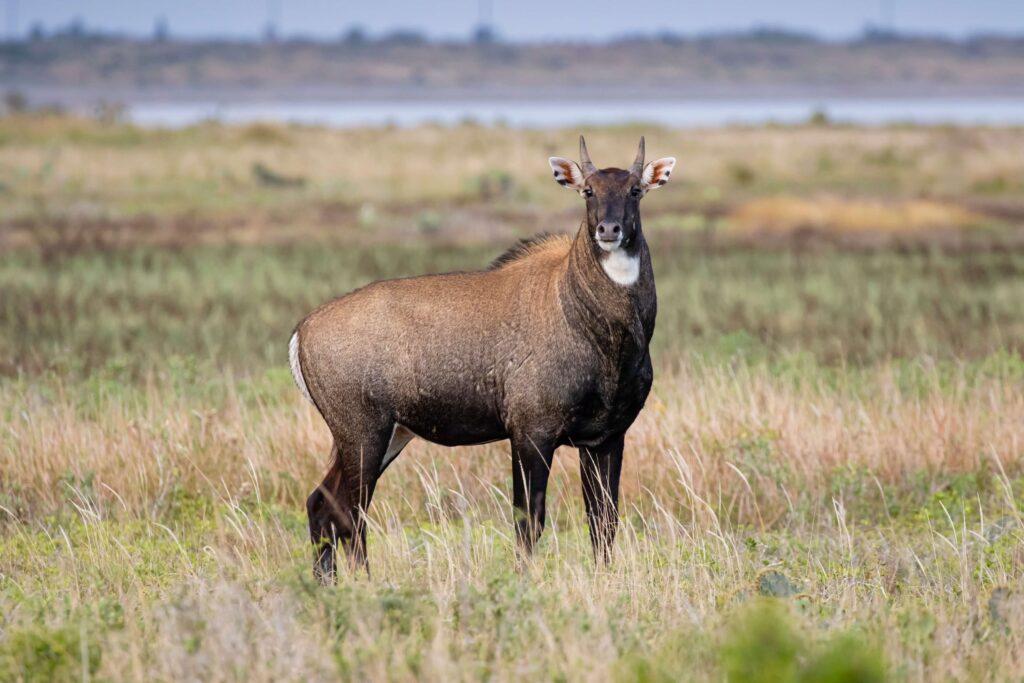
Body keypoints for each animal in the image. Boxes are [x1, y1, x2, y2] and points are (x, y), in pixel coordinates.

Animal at [289, 136, 675, 581]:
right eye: (588, 191)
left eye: (635, 190)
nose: (609, 230)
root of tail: (302, 332)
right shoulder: (531, 433)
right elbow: (529, 520)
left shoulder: (606, 437)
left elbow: (603, 521)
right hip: (363, 433)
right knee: (350, 513)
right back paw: (365, 583)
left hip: (386, 435)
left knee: (323, 505)